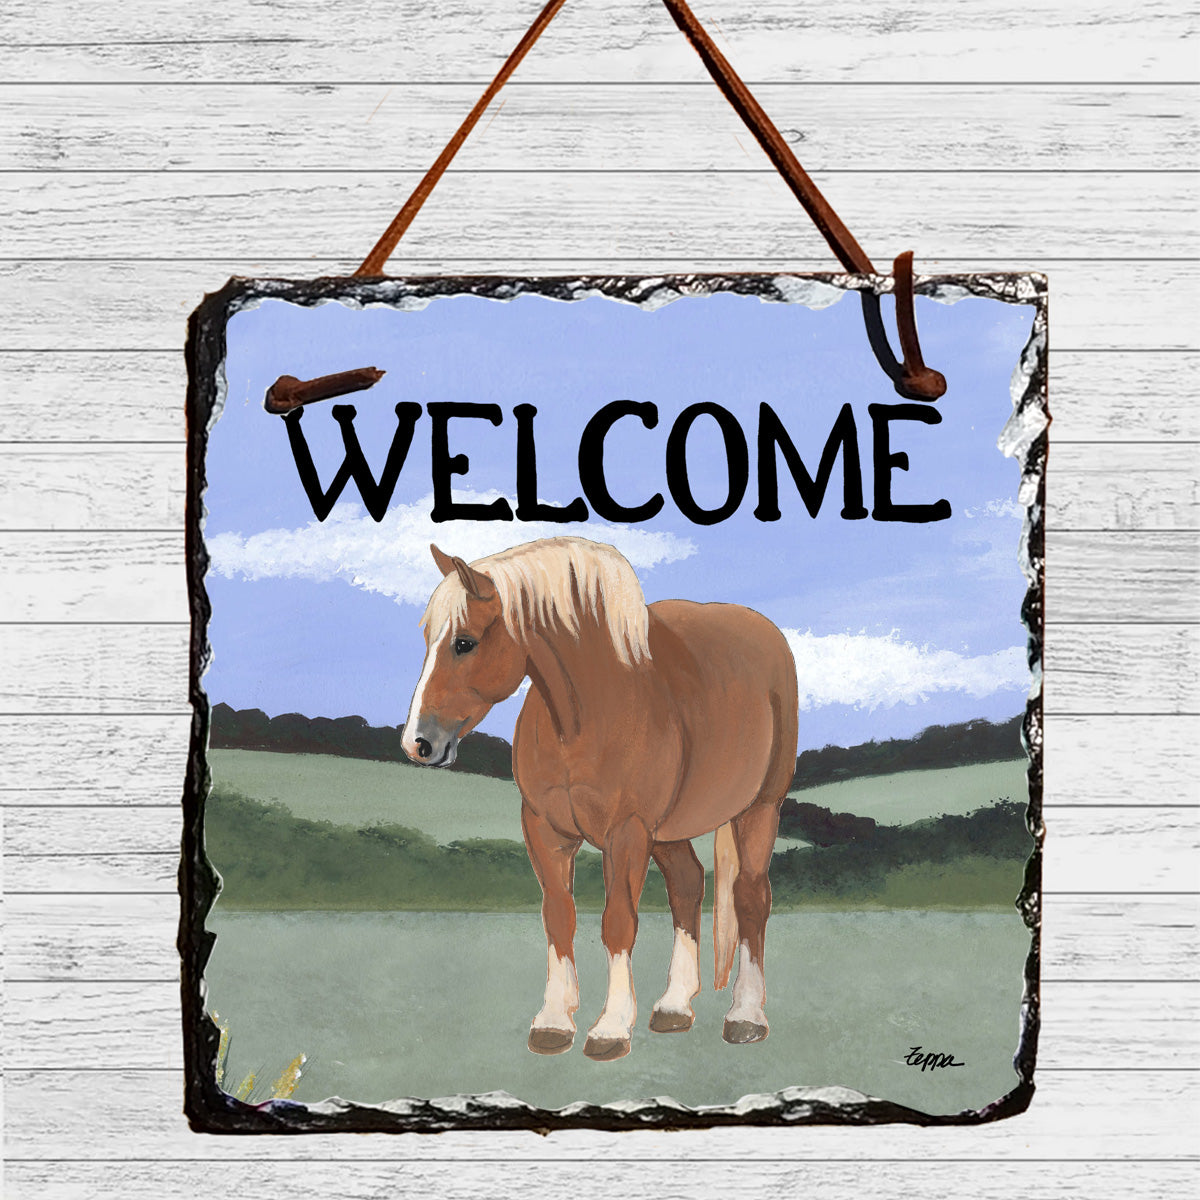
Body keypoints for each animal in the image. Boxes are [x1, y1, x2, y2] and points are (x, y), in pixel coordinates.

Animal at [401, 536, 799, 1061]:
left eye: (464, 642)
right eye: (427, 638)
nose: (417, 743)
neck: (583, 716)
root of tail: (765, 632)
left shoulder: (626, 832)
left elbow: (618, 923)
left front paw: (610, 1028)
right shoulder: (544, 828)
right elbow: (559, 916)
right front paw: (554, 1021)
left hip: (759, 809)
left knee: (751, 897)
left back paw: (746, 1015)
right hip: (668, 830)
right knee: (688, 885)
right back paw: (674, 1007)